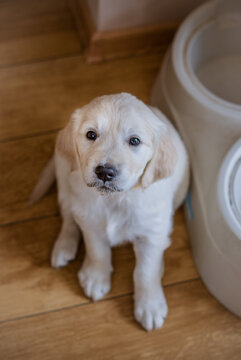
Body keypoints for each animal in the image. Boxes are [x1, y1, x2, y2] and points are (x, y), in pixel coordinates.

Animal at [30, 93, 188, 332]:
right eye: (91, 134)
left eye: (134, 141)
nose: (104, 172)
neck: (115, 199)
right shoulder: (90, 222)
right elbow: (98, 251)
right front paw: (96, 277)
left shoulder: (152, 234)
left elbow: (145, 271)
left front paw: (149, 305)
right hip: (64, 177)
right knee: (68, 216)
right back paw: (64, 247)